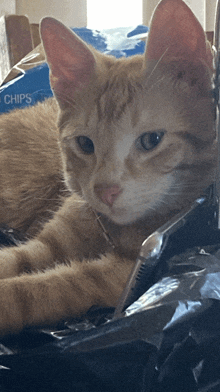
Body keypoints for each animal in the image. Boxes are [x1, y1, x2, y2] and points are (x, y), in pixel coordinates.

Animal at [0, 0, 216, 336]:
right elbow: (14, 259)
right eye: (85, 144)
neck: (115, 232)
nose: (106, 191)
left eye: (151, 140)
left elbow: (37, 291)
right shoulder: (48, 243)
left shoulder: (115, 276)